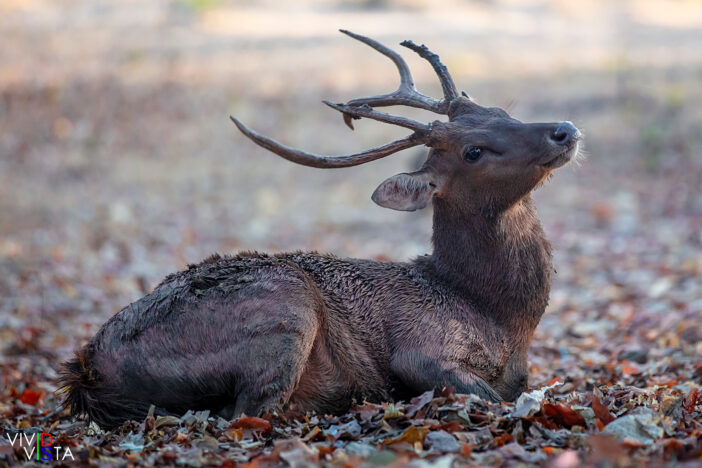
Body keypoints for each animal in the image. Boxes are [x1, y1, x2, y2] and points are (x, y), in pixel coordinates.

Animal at [61, 30, 581, 429]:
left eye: (503, 111)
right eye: (473, 151)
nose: (565, 129)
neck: (498, 318)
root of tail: (86, 371)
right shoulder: (422, 349)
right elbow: (490, 397)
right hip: (285, 306)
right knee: (248, 411)